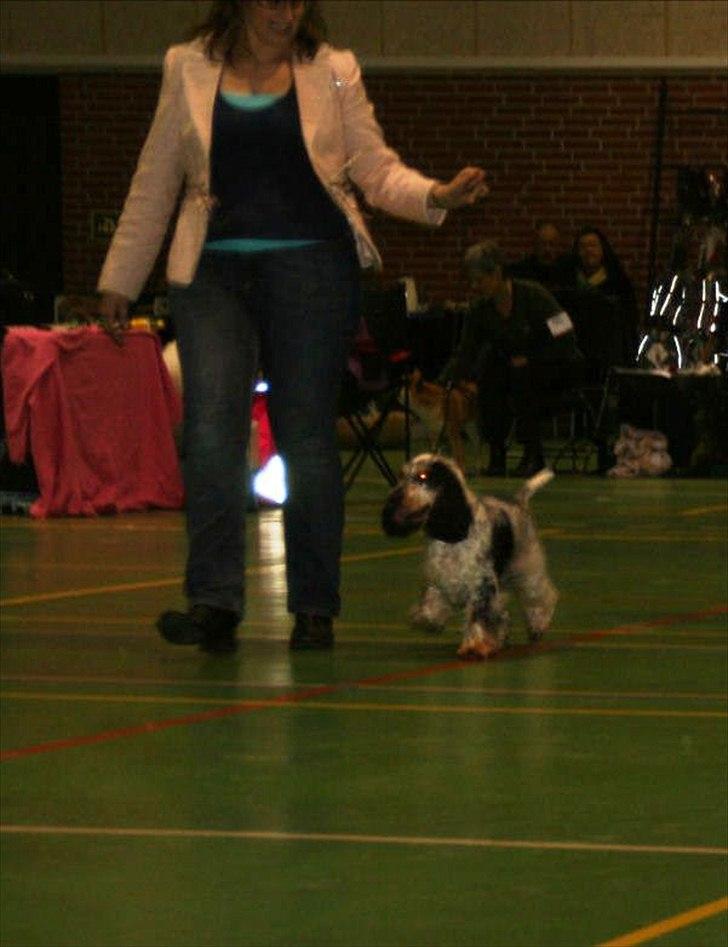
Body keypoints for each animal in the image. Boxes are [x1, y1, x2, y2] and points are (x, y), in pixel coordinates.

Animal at [382, 452, 556, 660]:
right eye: (402, 475)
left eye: (422, 477)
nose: (393, 500)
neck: (453, 536)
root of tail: (518, 502)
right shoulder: (439, 580)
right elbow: (430, 608)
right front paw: (427, 620)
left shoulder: (481, 584)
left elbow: (478, 615)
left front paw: (475, 646)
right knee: (504, 612)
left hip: (527, 566)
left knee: (541, 596)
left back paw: (537, 626)